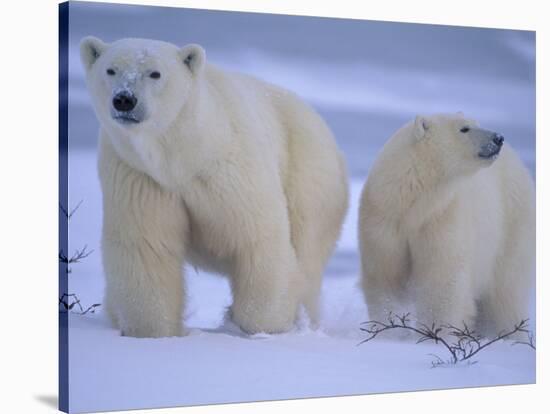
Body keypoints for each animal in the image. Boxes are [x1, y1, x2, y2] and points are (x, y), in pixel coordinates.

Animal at [80, 37, 350, 338]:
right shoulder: (139, 175)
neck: (184, 155)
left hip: (308, 173)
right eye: (111, 70)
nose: (125, 99)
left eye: (155, 73)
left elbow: (258, 238)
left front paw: (261, 326)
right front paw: (153, 332)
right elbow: (146, 247)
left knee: (306, 250)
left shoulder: (229, 169)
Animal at [360, 112, 536, 334]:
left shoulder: (441, 217)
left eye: (476, 123)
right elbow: (386, 279)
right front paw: (390, 332)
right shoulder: (385, 222)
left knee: (506, 292)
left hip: (510, 226)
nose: (499, 138)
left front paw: (435, 334)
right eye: (464, 128)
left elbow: (441, 282)